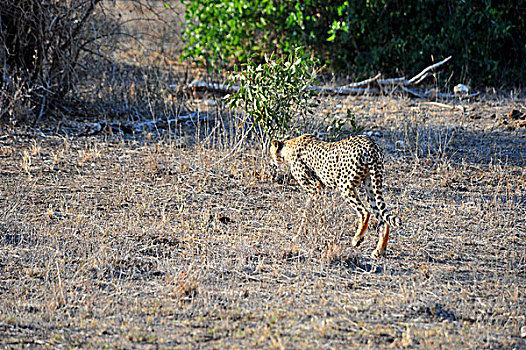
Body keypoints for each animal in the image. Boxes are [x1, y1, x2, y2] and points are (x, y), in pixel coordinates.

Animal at [274, 134, 402, 258]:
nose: (273, 161)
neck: (290, 146)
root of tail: (371, 144)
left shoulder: (314, 187)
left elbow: (307, 212)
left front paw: (299, 235)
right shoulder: (319, 188)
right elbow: (317, 210)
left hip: (345, 185)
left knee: (365, 212)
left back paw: (357, 239)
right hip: (371, 185)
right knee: (383, 220)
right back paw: (379, 250)